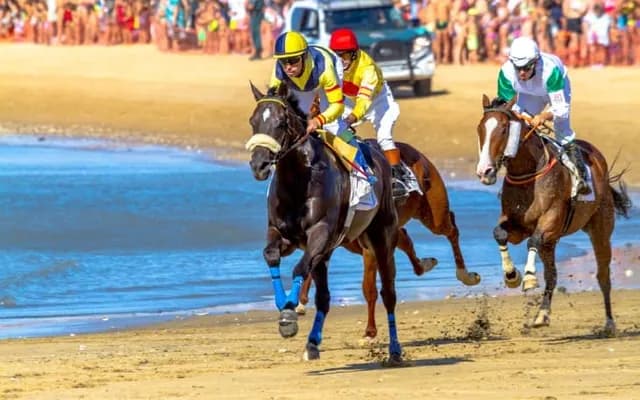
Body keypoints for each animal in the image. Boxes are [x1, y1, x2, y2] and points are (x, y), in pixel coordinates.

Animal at [246, 82, 404, 363]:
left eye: (280, 123)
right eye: (253, 121)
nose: (259, 164)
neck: (298, 181)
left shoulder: (319, 234)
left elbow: (299, 268)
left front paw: (288, 314)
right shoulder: (282, 234)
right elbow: (271, 255)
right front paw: (284, 307)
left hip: (382, 237)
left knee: (388, 293)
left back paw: (395, 349)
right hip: (328, 252)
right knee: (324, 298)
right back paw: (312, 343)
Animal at [297, 140, 482, 340]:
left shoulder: (370, 247)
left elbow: (369, 287)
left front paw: (370, 331)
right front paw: (300, 302)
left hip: (434, 214)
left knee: (451, 228)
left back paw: (466, 275)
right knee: (407, 240)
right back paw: (425, 264)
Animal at [475, 95, 631, 334]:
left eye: (503, 129)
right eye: (480, 129)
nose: (485, 172)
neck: (528, 174)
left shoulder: (550, 220)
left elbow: (533, 240)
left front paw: (529, 278)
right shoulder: (517, 226)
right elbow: (499, 233)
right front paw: (511, 275)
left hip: (600, 229)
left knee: (603, 275)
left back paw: (609, 323)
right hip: (551, 243)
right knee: (552, 275)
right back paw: (542, 315)